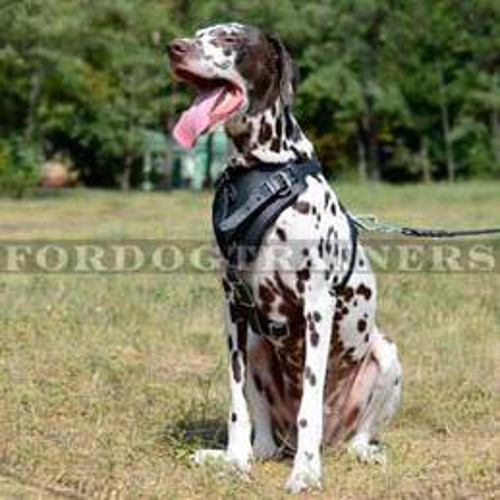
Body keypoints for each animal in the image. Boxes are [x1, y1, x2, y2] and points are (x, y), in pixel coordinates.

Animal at [168, 22, 402, 492]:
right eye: (199, 33)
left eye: (230, 38)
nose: (174, 48)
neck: (260, 170)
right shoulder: (234, 309)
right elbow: (236, 403)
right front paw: (235, 462)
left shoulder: (316, 307)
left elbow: (309, 403)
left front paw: (306, 473)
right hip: (258, 347)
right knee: (266, 442)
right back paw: (235, 455)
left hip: (385, 354)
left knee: (354, 434)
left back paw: (355, 451)